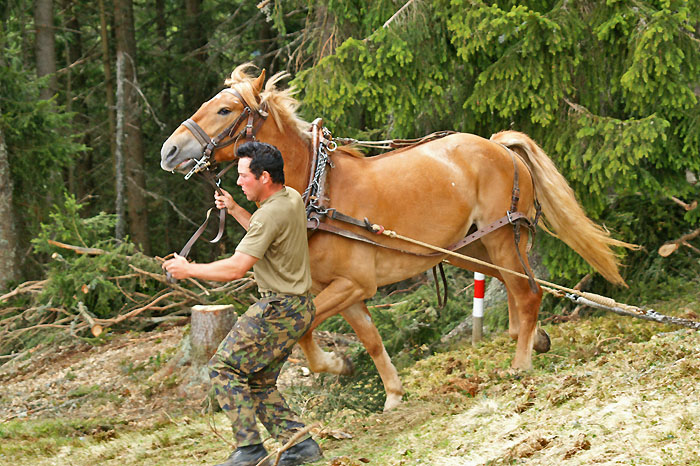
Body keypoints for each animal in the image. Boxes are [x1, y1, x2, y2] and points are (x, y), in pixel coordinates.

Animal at [161, 62, 632, 412]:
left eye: (225, 110)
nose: (169, 150)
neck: (317, 191)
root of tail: (498, 144)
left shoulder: (353, 284)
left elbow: (307, 328)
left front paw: (338, 363)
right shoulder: (344, 290)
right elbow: (368, 339)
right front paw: (386, 390)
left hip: (499, 238)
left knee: (527, 292)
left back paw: (521, 362)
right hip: (469, 247)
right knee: (518, 287)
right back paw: (533, 338)